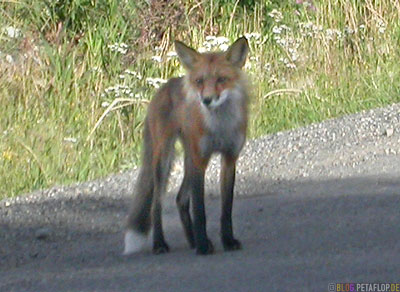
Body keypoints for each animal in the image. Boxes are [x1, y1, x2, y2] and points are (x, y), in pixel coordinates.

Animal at [124, 37, 250, 256]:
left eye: (221, 79)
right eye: (200, 81)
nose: (206, 100)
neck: (219, 127)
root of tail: (165, 86)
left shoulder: (229, 158)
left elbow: (226, 209)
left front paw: (227, 240)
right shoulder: (200, 160)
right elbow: (200, 210)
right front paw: (203, 246)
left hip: (188, 159)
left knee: (180, 199)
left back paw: (193, 240)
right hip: (165, 158)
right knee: (156, 204)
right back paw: (160, 243)